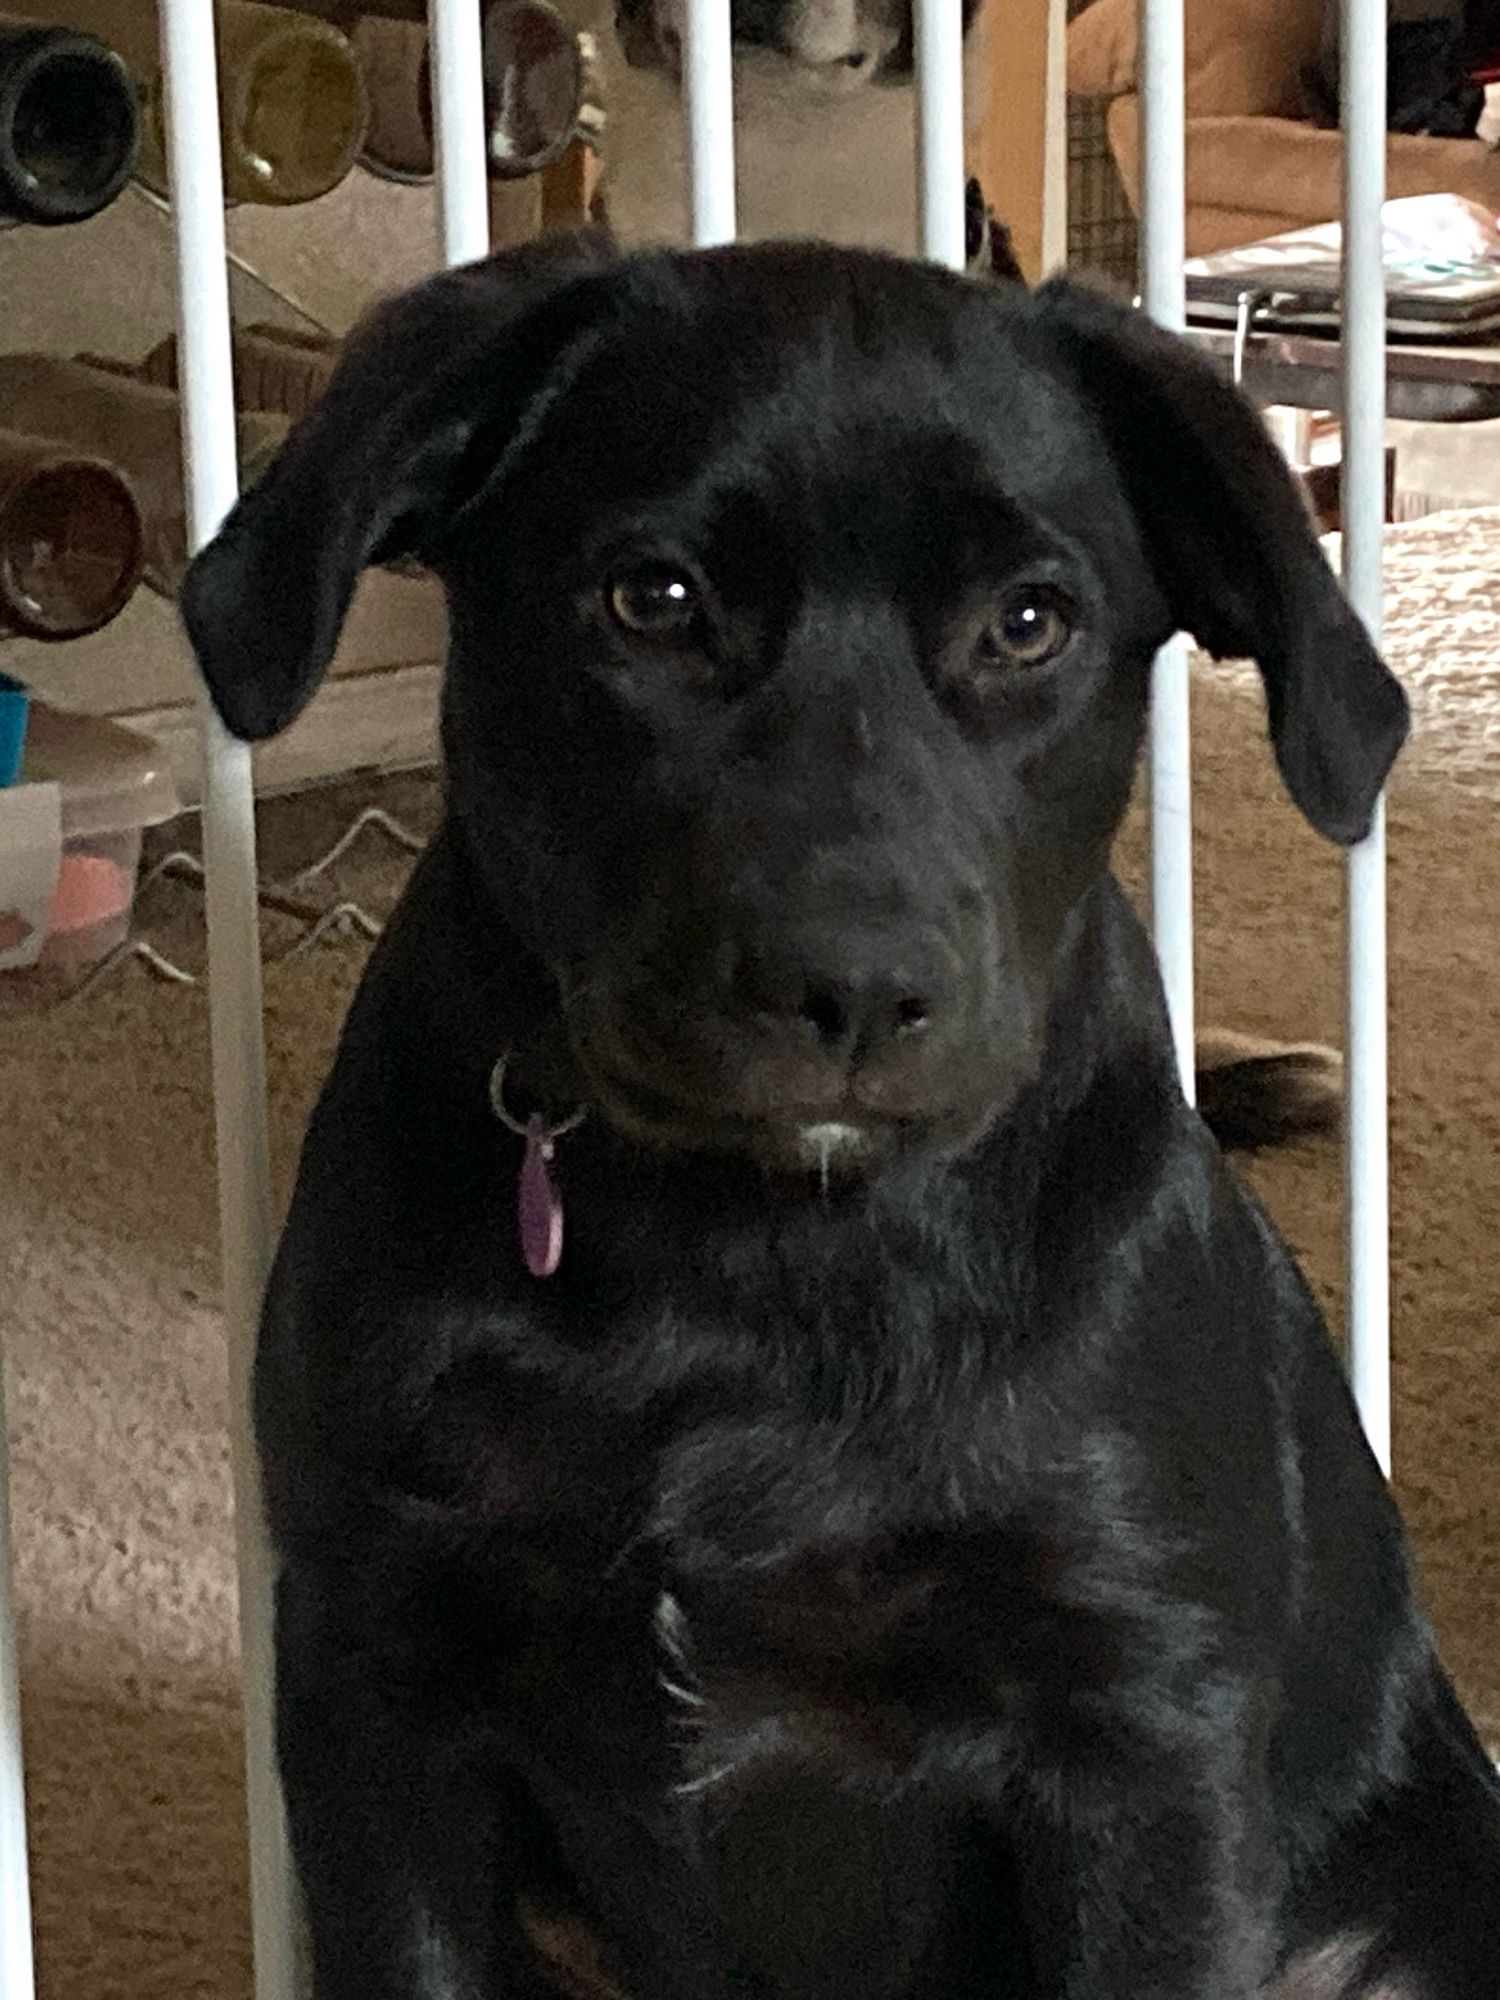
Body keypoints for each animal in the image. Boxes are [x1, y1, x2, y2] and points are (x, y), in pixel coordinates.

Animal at [182, 238, 1496, 2000]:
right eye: (653, 599)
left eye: (1030, 622)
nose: (857, 988)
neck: (748, 1252)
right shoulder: (375, 1683)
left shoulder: (1141, 1730)